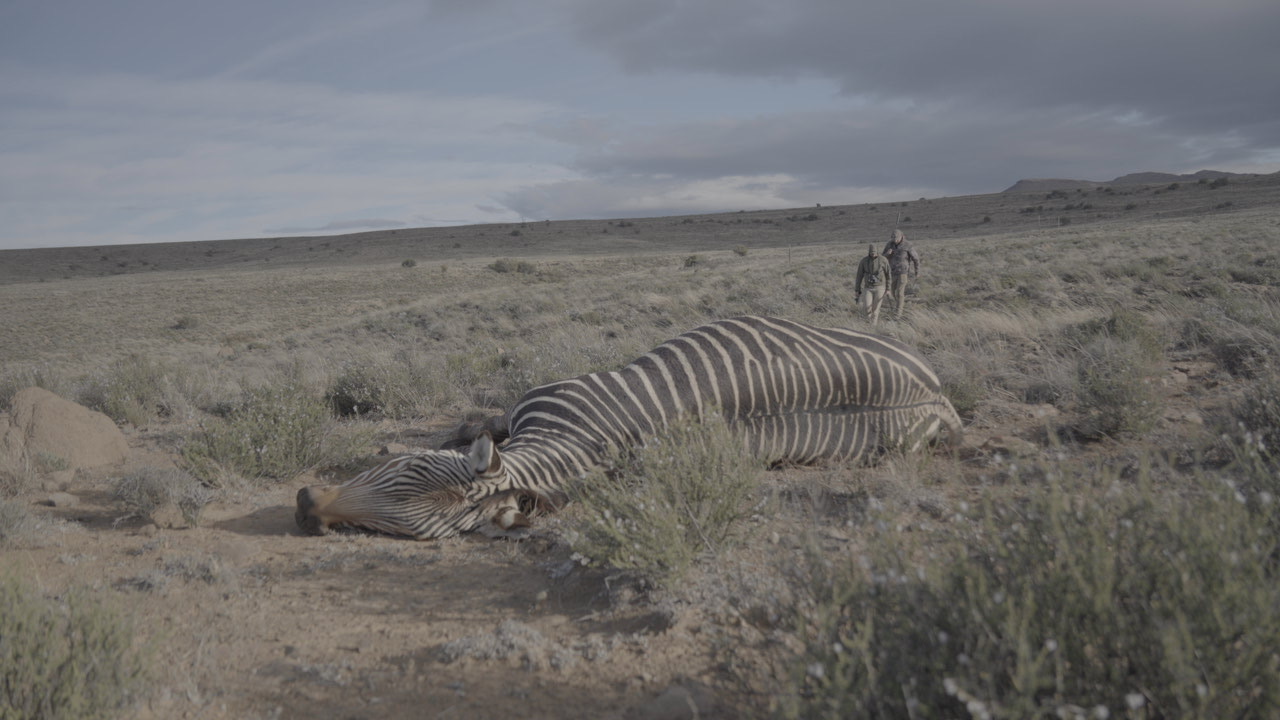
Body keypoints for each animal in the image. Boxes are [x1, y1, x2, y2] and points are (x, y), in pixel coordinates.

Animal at [295, 315, 962, 540]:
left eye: (409, 532)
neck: (571, 440)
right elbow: (472, 425)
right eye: (402, 468)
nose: (305, 506)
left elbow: (473, 423)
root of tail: (939, 397)